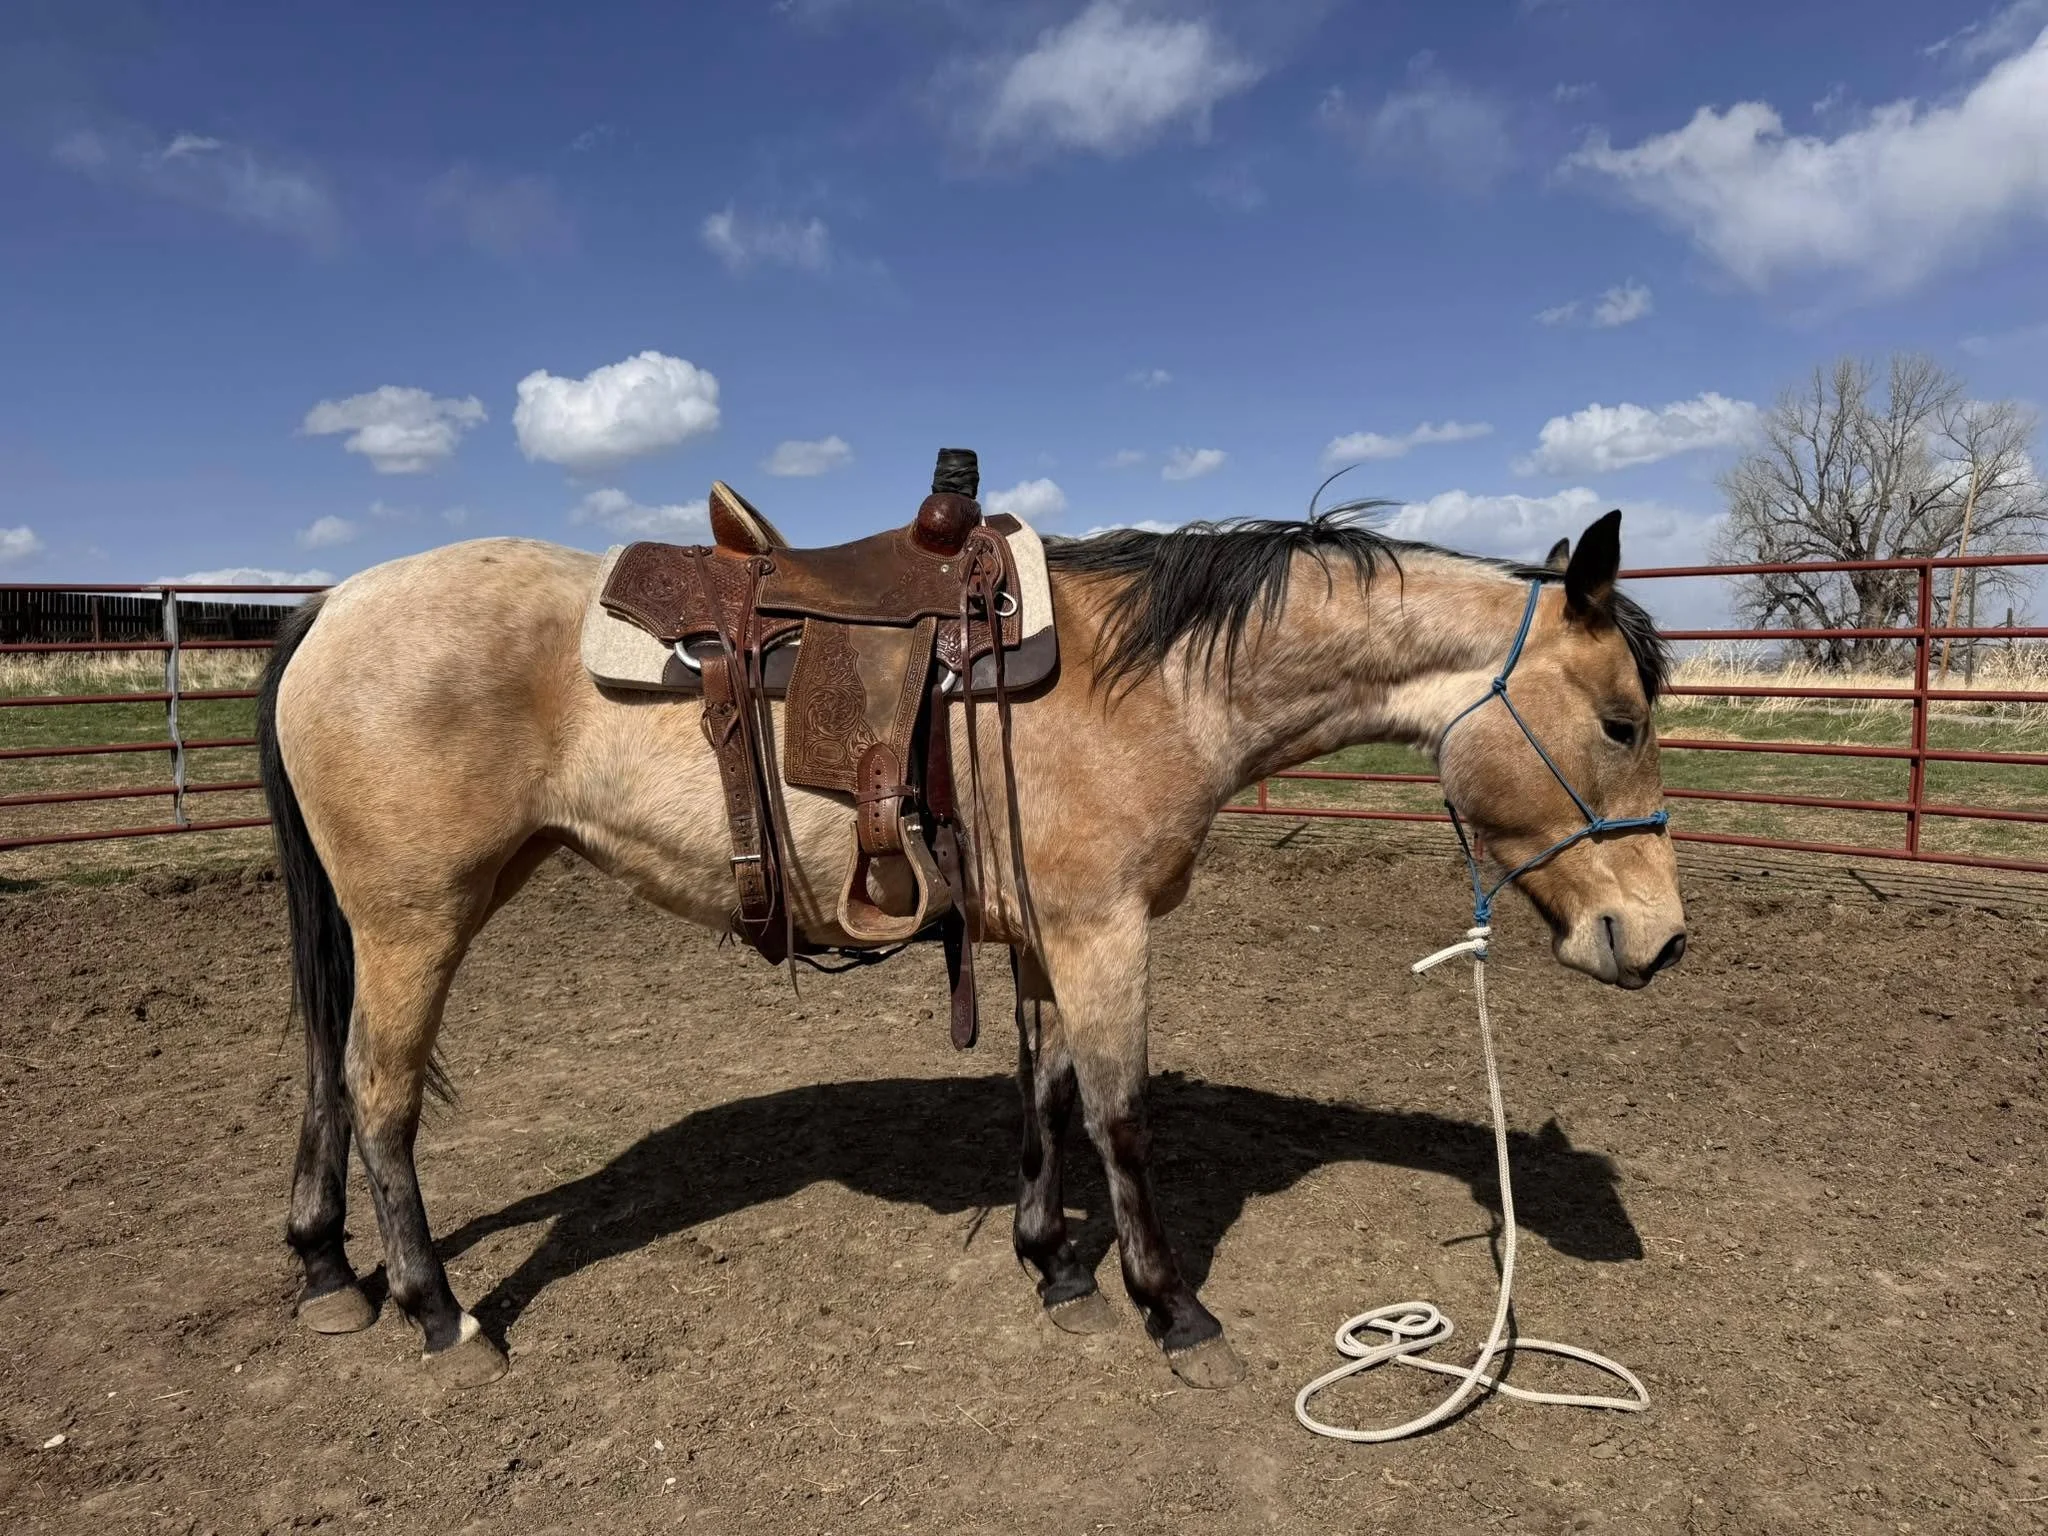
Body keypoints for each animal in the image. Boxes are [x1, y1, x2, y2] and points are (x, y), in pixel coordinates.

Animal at [255, 506, 1686, 1391]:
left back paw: (328, 1268)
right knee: (381, 1096)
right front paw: (1172, 1310)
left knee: (327, 1073)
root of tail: (330, 606)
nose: (1659, 941)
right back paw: (438, 1311)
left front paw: (1052, 1265)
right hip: (418, 917)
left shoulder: (1052, 936)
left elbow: (1044, 1096)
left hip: (411, 911)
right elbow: (1120, 1118)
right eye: (1619, 720)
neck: (1152, 682)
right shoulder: (1106, 934)